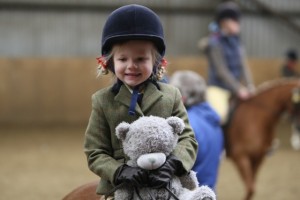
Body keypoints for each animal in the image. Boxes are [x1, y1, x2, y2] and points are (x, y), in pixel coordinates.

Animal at [62, 78, 300, 200]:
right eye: (296, 101)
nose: (297, 134)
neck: (257, 117)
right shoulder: (242, 157)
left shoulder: (257, 159)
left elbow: (251, 189)